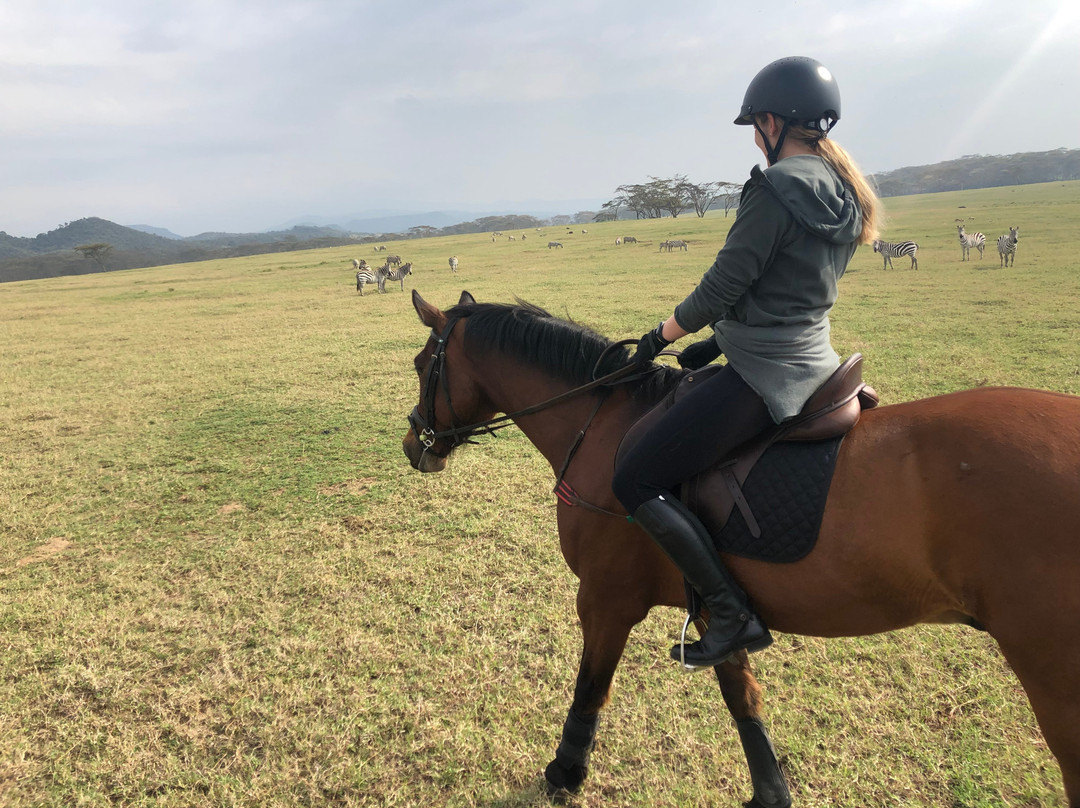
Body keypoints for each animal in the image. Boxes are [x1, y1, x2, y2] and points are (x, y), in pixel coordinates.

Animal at [401, 290, 1080, 807]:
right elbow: (742, 697)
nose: (415, 443)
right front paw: (770, 793)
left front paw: (565, 774)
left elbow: (590, 687)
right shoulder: (719, 606)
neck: (603, 425)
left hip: (1053, 674)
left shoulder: (605, 599)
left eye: (418, 363)